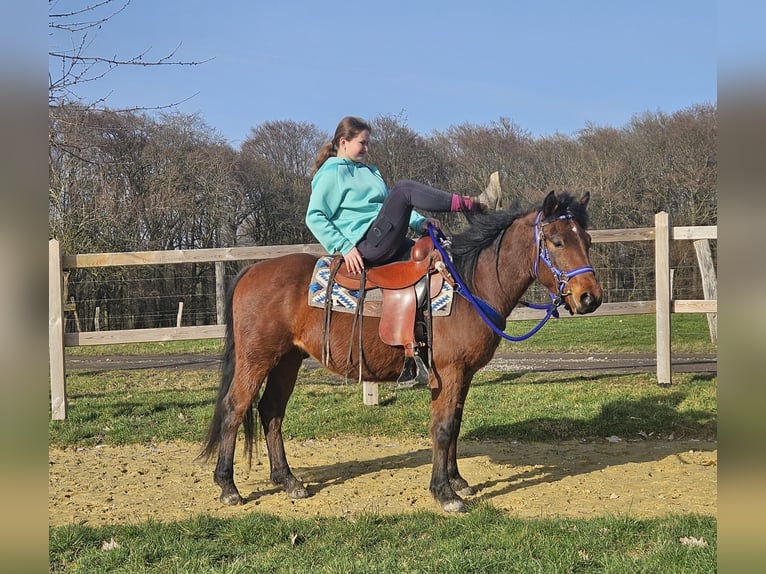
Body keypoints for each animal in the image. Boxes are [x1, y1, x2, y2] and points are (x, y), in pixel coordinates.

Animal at [199, 190, 602, 512]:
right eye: (556, 241)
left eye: (587, 238)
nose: (590, 298)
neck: (469, 285)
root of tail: (250, 272)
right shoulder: (448, 372)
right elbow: (442, 428)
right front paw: (444, 493)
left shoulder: (464, 375)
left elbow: (456, 424)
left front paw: (457, 480)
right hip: (257, 359)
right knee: (234, 409)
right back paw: (228, 487)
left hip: (287, 361)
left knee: (271, 412)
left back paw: (288, 481)